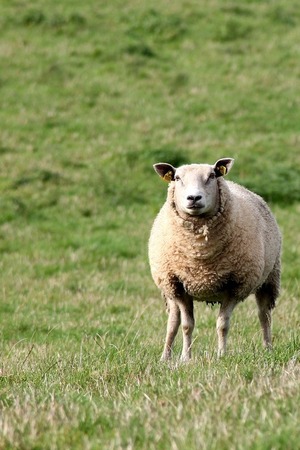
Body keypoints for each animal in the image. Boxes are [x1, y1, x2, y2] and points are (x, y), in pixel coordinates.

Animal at [149, 158, 282, 362]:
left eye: (211, 176)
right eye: (177, 178)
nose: (193, 198)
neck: (200, 255)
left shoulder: (235, 286)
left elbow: (222, 324)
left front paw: (221, 355)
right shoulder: (178, 285)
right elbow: (186, 325)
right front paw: (185, 358)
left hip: (269, 278)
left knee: (264, 315)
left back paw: (268, 349)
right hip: (168, 287)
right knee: (173, 321)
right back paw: (165, 357)